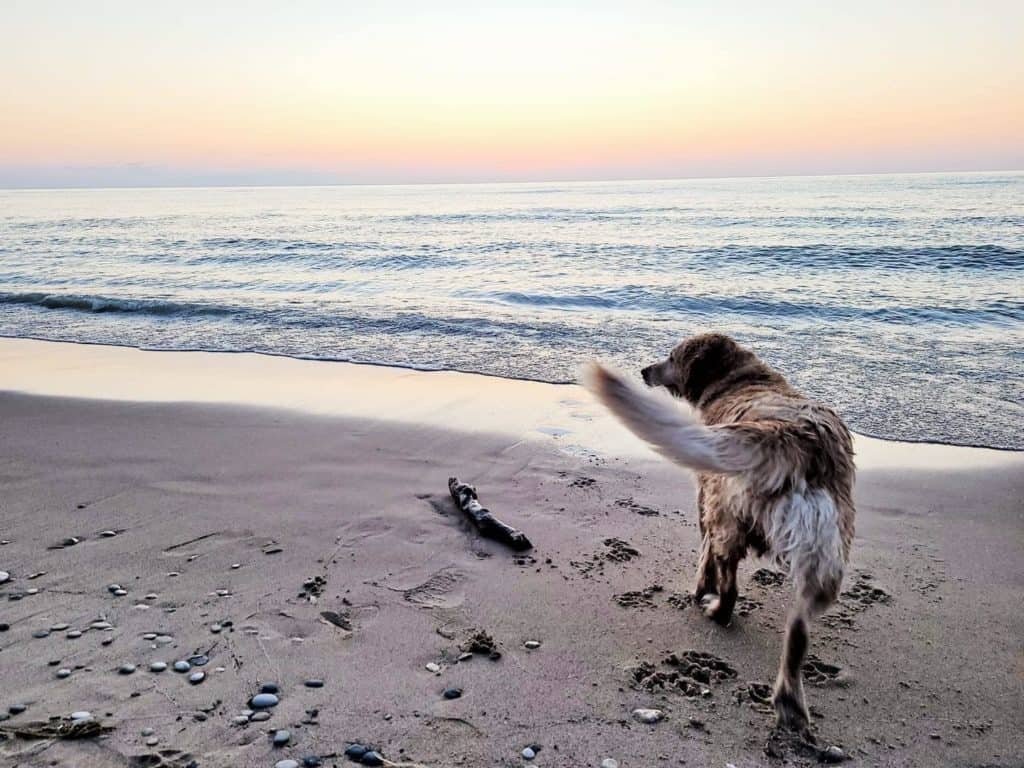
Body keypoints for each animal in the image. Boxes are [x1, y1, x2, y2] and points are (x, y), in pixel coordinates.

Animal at [585, 333, 856, 737]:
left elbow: (704, 557)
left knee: (729, 585)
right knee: (798, 631)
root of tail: (793, 438)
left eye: (671, 357)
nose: (644, 370)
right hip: (824, 552)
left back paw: (715, 610)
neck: (740, 378)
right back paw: (789, 702)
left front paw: (700, 588)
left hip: (727, 514)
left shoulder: (704, 492)